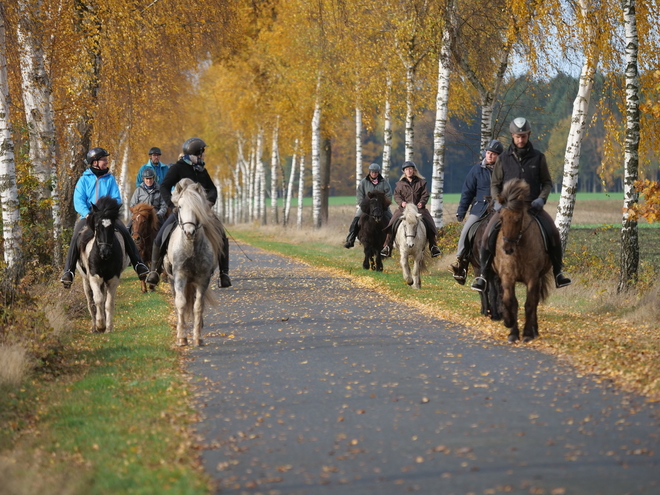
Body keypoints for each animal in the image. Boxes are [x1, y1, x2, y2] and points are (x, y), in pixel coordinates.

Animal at [78, 196, 130, 336]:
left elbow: (108, 303)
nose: (105, 252)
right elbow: (98, 300)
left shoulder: (113, 279)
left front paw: (108, 327)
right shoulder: (94, 277)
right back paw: (94, 327)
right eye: (97, 226)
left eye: (112, 227)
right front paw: (100, 326)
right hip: (86, 280)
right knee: (91, 302)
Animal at [164, 179, 224, 348]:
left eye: (197, 207)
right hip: (172, 279)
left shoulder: (203, 279)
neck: (191, 247)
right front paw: (181, 338)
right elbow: (181, 304)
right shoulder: (179, 277)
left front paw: (197, 338)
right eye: (180, 206)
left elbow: (198, 306)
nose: (189, 232)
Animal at [496, 179, 552, 344]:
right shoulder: (507, 276)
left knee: (535, 302)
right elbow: (510, 301)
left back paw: (534, 330)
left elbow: (529, 304)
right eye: (501, 218)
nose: (507, 249)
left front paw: (527, 334)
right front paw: (510, 328)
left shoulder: (532, 277)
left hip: (539, 278)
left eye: (517, 219)